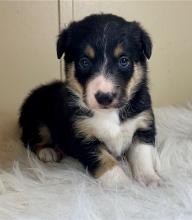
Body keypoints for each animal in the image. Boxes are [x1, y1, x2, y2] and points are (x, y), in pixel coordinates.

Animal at [19, 13, 160, 186]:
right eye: (84, 62)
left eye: (124, 60)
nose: (105, 97)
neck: (109, 113)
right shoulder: (83, 137)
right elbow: (106, 161)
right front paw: (122, 185)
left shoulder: (143, 126)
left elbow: (142, 156)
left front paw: (149, 180)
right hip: (37, 119)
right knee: (31, 139)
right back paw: (48, 151)